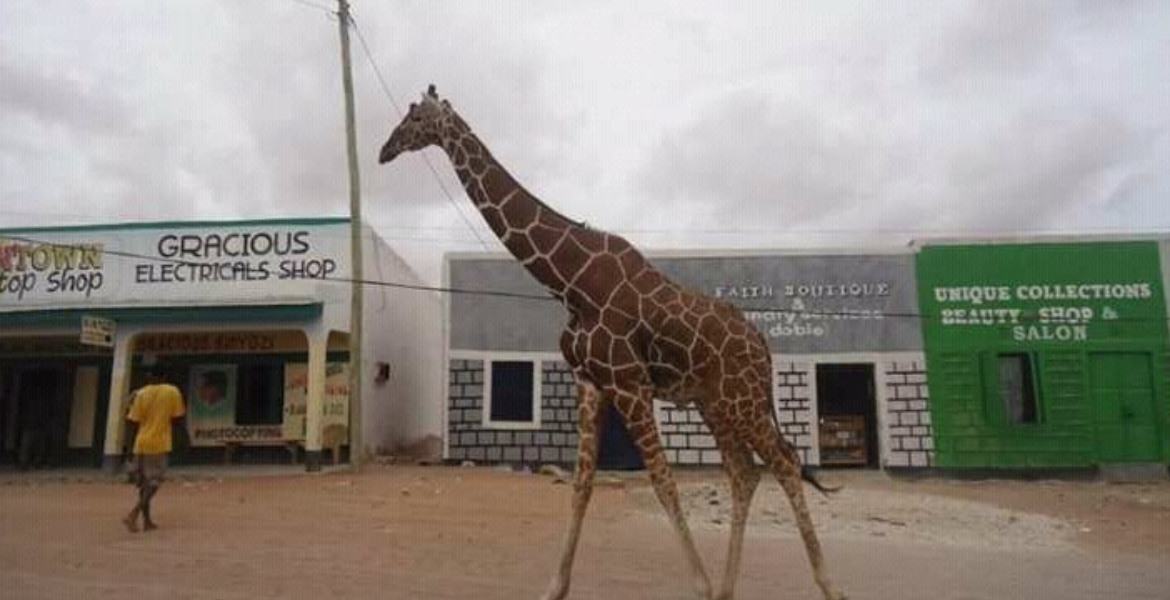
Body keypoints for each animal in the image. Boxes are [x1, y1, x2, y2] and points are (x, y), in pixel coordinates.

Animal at [378, 85, 846, 600]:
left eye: (415, 117)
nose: (384, 150)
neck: (571, 282)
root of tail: (763, 344)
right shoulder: (591, 383)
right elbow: (581, 484)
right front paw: (554, 588)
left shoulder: (628, 383)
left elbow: (662, 479)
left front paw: (700, 586)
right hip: (716, 404)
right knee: (745, 473)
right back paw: (728, 588)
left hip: (741, 399)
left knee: (785, 462)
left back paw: (827, 585)